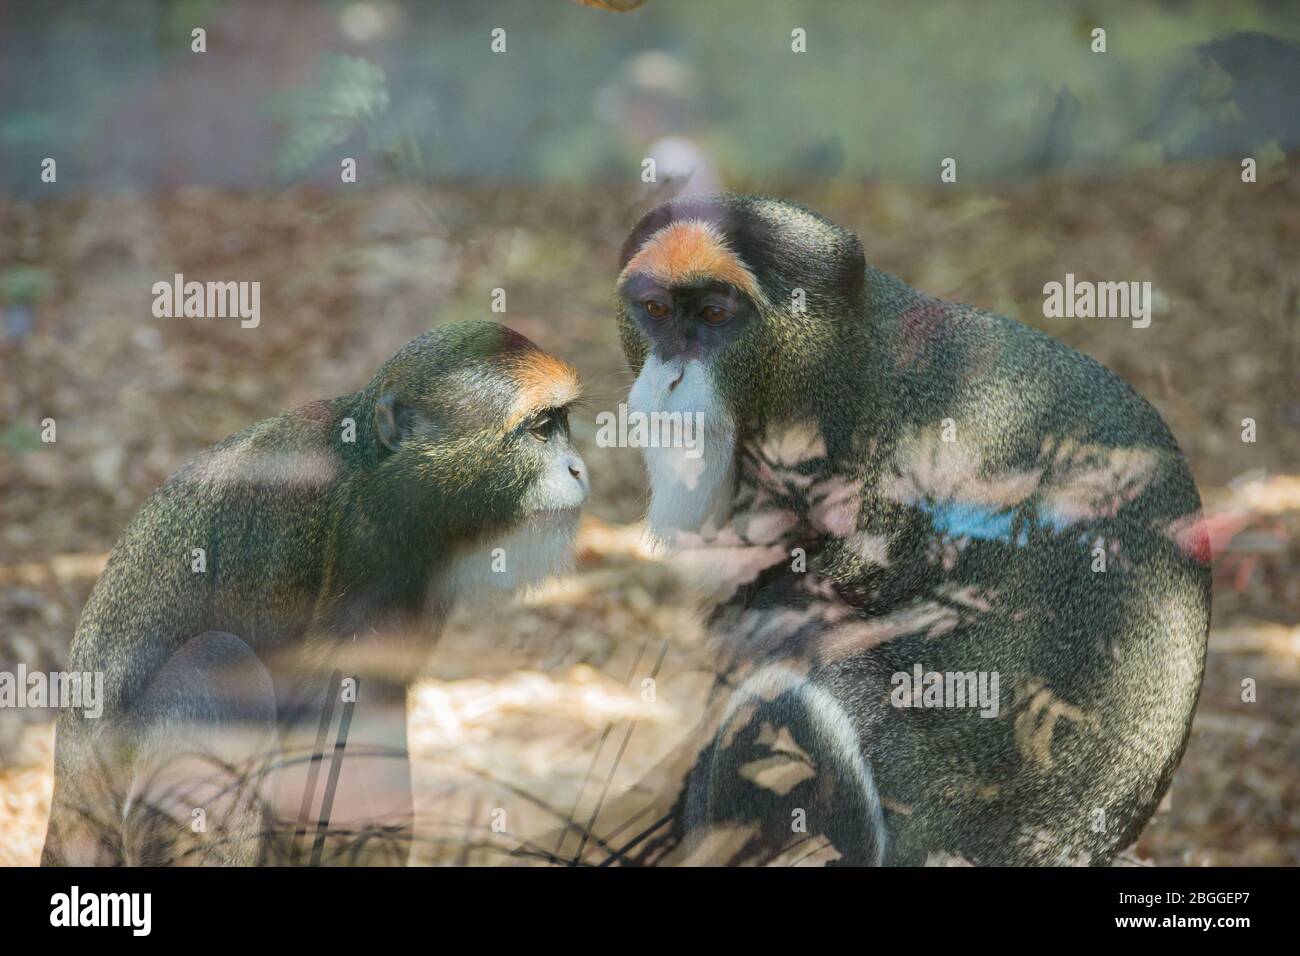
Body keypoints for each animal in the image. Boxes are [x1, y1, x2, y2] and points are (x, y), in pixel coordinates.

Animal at [41, 321, 589, 866]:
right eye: (542, 428)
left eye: (561, 423)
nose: (579, 469)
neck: (377, 467)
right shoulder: (358, 543)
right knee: (217, 661)